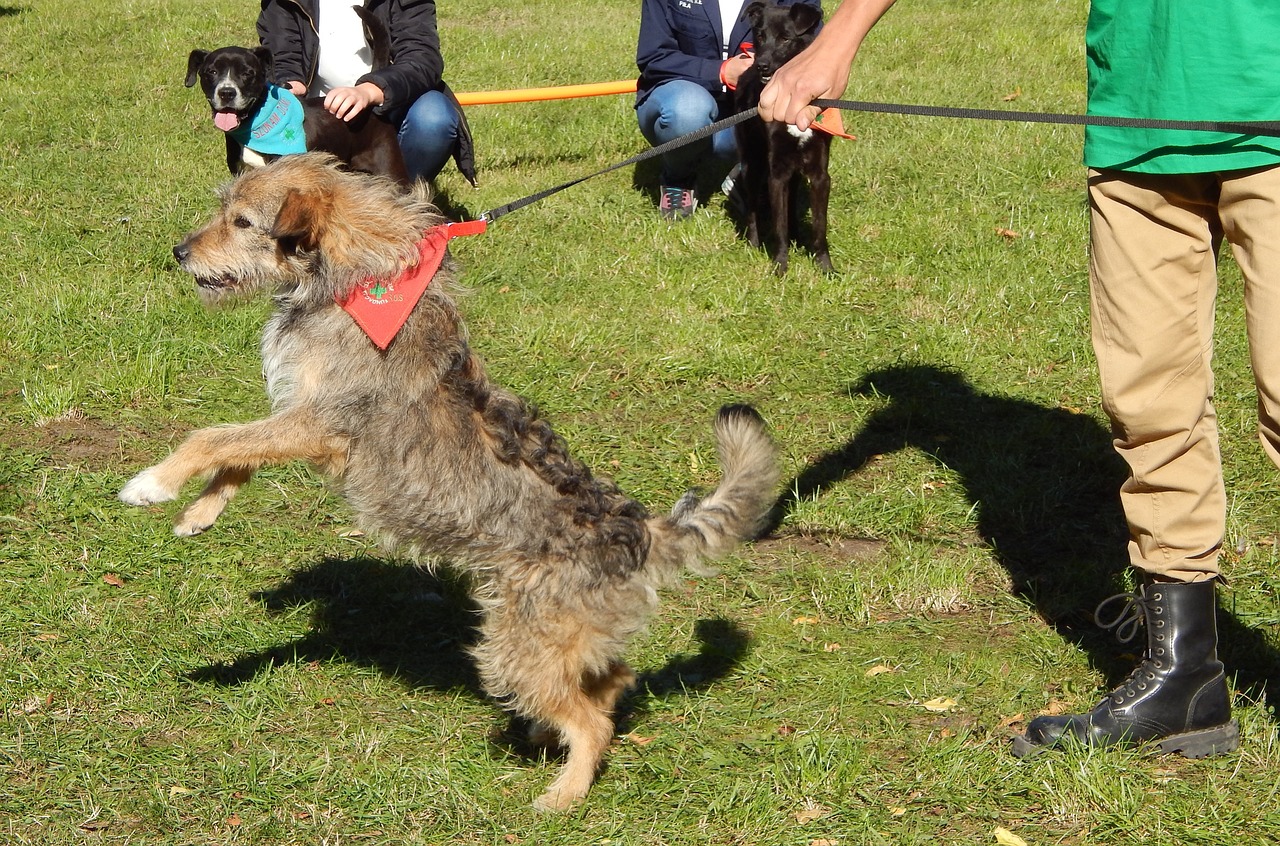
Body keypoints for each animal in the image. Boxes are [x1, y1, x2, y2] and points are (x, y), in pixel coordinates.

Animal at [122, 153, 778, 814]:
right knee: (613, 681)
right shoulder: (301, 420)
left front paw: (154, 483)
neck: (355, 281)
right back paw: (548, 736)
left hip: (518, 646)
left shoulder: (321, 423)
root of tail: (637, 531)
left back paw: (563, 794)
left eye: (242, 221)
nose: (179, 251)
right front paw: (201, 512)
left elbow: (214, 437)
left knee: (594, 719)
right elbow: (238, 455)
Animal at [737, 0, 834, 273]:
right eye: (760, 36)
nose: (761, 65)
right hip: (753, 162)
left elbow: (819, 227)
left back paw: (797, 238)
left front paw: (825, 267)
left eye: (785, 38)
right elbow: (778, 226)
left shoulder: (820, 175)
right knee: (752, 207)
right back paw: (754, 243)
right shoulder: (776, 174)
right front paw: (780, 267)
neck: (792, 99)